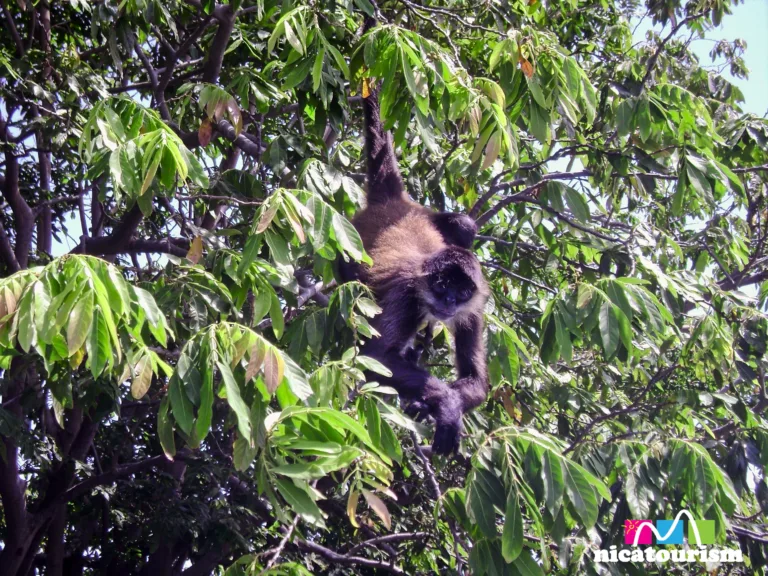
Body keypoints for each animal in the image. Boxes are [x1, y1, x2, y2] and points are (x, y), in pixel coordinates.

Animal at [337, 36, 490, 454]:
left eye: (461, 292)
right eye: (442, 285)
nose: (448, 301)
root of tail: (394, 203)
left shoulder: (474, 310)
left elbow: (476, 381)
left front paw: (434, 403)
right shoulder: (407, 291)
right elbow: (374, 358)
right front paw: (447, 405)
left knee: (465, 225)